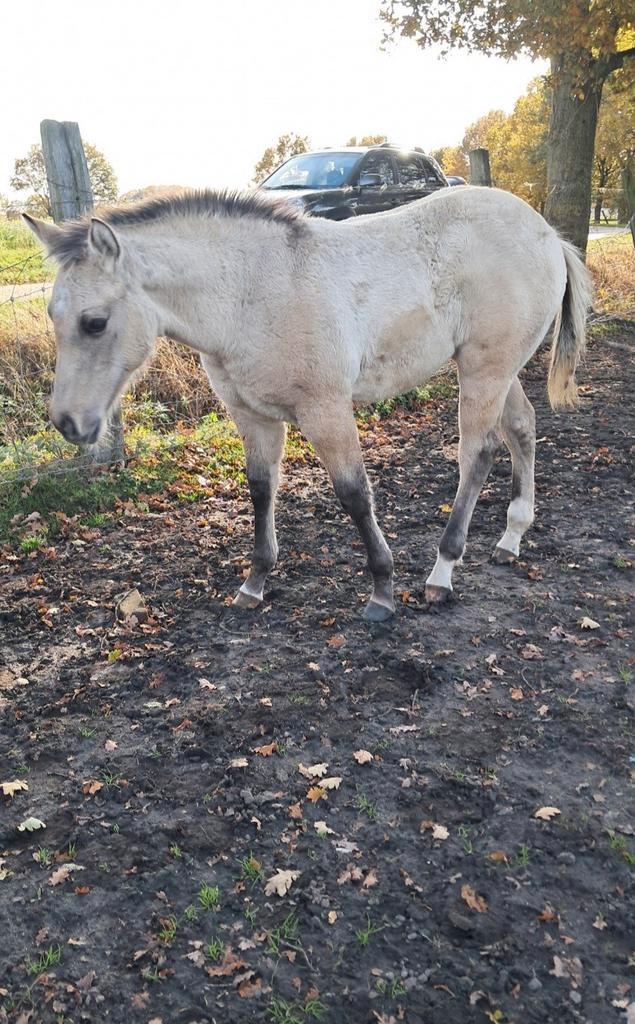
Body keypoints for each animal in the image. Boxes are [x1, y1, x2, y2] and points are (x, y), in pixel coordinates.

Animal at [24, 185, 591, 621]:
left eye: (95, 322)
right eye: (53, 314)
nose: (68, 423)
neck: (251, 292)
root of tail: (547, 234)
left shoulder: (326, 410)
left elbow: (354, 494)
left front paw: (382, 591)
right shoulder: (252, 416)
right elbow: (261, 490)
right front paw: (253, 583)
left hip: (483, 371)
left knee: (477, 453)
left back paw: (442, 572)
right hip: (495, 369)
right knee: (520, 429)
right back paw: (511, 537)